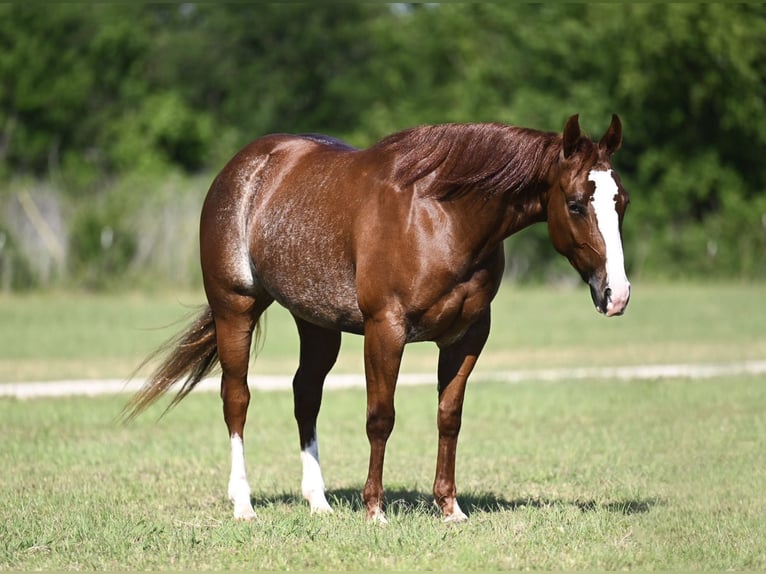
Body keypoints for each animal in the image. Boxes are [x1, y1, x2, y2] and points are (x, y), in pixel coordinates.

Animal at [124, 114, 631, 523]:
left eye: (620, 201)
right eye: (576, 203)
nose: (617, 294)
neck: (441, 215)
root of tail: (243, 167)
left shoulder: (468, 337)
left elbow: (449, 416)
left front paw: (450, 508)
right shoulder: (384, 330)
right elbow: (380, 417)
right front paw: (375, 509)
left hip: (317, 323)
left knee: (305, 395)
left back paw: (319, 501)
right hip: (236, 308)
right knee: (237, 398)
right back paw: (244, 505)